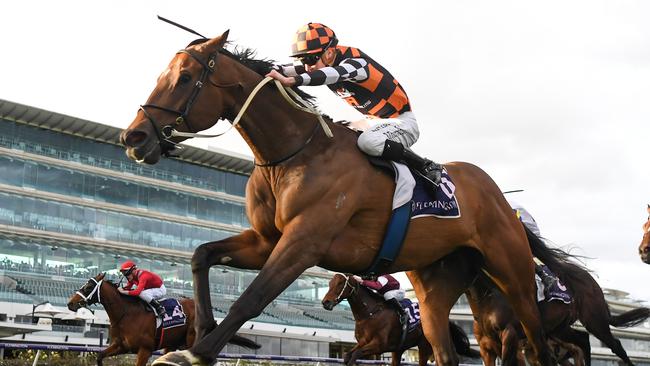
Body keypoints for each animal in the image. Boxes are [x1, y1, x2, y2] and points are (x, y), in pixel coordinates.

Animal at [66, 274, 258, 366]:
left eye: (89, 287)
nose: (70, 303)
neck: (126, 314)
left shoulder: (145, 349)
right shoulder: (122, 346)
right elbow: (99, 356)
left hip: (191, 341)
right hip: (172, 344)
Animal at [320, 274, 478, 364]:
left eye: (340, 283)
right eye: (329, 283)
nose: (325, 302)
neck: (369, 313)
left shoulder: (379, 345)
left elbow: (355, 356)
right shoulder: (363, 342)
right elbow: (348, 356)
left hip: (425, 346)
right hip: (398, 349)